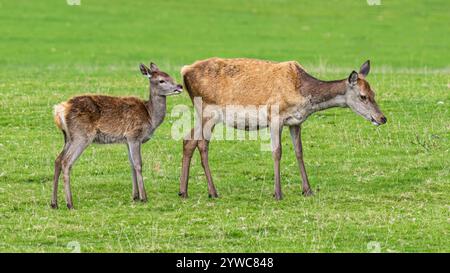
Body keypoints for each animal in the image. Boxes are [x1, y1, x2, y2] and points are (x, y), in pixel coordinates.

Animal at [53, 63, 184, 208]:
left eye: (169, 75)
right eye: (161, 80)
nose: (179, 86)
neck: (150, 117)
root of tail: (60, 110)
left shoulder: (127, 140)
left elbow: (131, 165)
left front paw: (135, 196)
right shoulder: (134, 135)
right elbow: (138, 164)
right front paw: (144, 197)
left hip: (68, 137)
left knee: (57, 160)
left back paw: (54, 203)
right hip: (81, 135)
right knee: (66, 162)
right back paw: (70, 203)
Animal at [179, 56, 386, 199]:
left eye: (373, 93)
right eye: (362, 96)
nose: (382, 118)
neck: (303, 94)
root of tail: (184, 71)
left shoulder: (296, 122)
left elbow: (299, 152)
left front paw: (308, 190)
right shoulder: (275, 116)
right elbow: (277, 152)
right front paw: (278, 193)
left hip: (203, 114)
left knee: (189, 139)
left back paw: (183, 191)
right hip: (208, 111)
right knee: (202, 143)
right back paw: (213, 192)